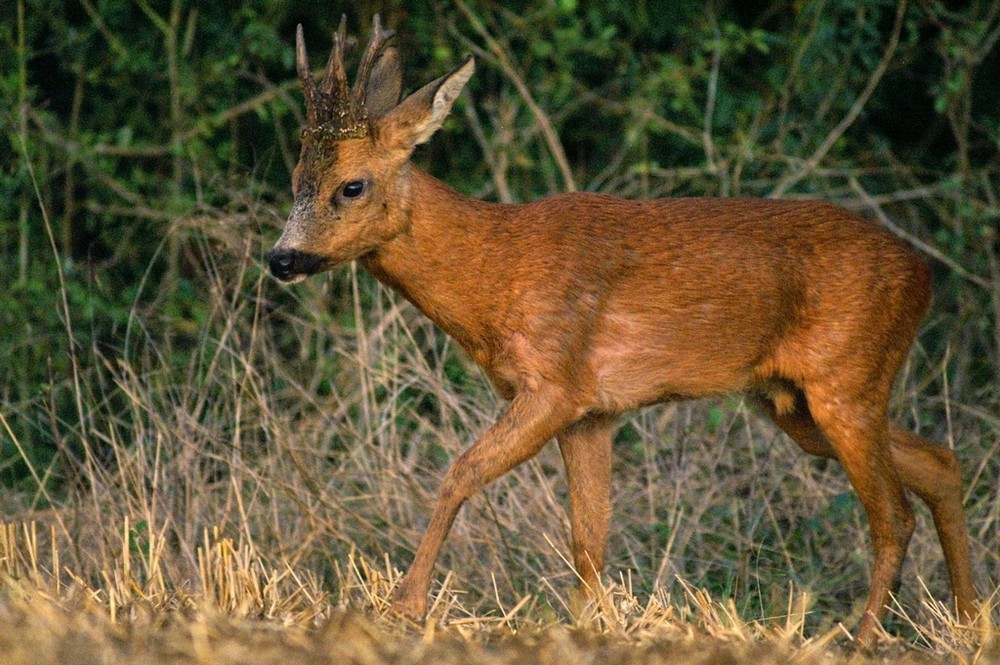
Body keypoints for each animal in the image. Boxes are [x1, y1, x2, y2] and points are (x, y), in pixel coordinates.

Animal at [266, 15, 976, 640]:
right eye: (296, 178)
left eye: (352, 186)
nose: (281, 258)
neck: (496, 271)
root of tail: (925, 275)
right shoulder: (592, 412)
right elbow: (588, 539)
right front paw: (592, 627)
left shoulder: (554, 383)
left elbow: (459, 473)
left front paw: (405, 607)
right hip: (797, 403)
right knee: (941, 464)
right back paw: (969, 623)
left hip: (845, 379)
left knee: (894, 517)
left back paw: (863, 639)